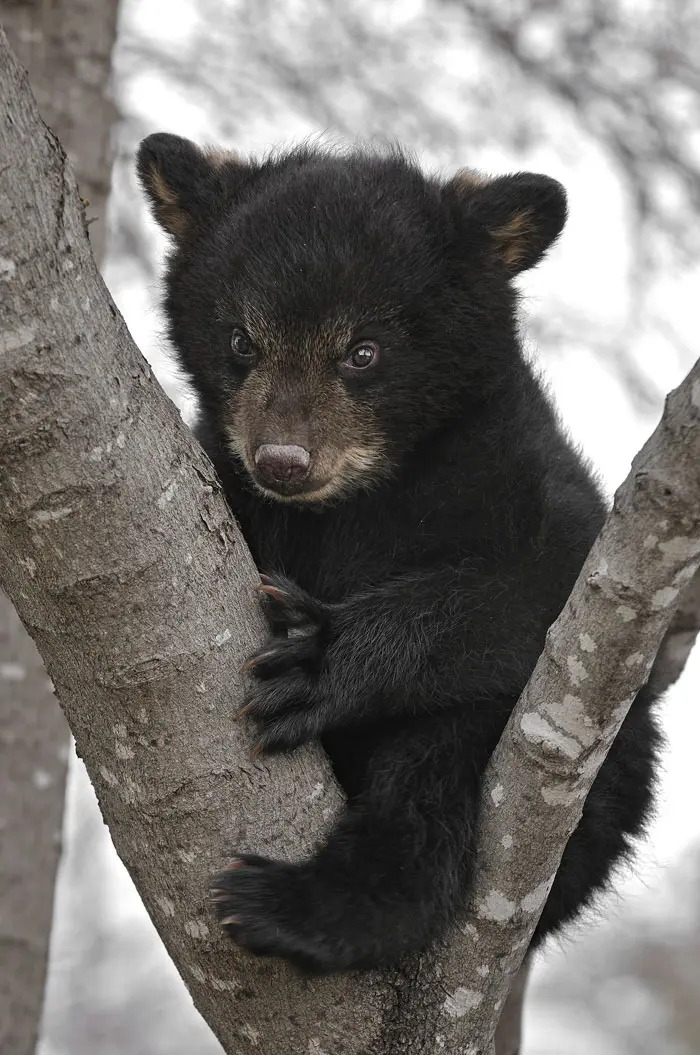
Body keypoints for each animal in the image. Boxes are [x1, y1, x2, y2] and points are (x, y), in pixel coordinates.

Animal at [138, 136, 662, 974]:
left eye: (363, 350)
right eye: (241, 340)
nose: (283, 461)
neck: (356, 497)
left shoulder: (521, 475)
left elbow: (548, 587)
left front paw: (322, 656)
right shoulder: (226, 478)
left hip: (600, 776)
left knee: (431, 776)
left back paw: (303, 905)